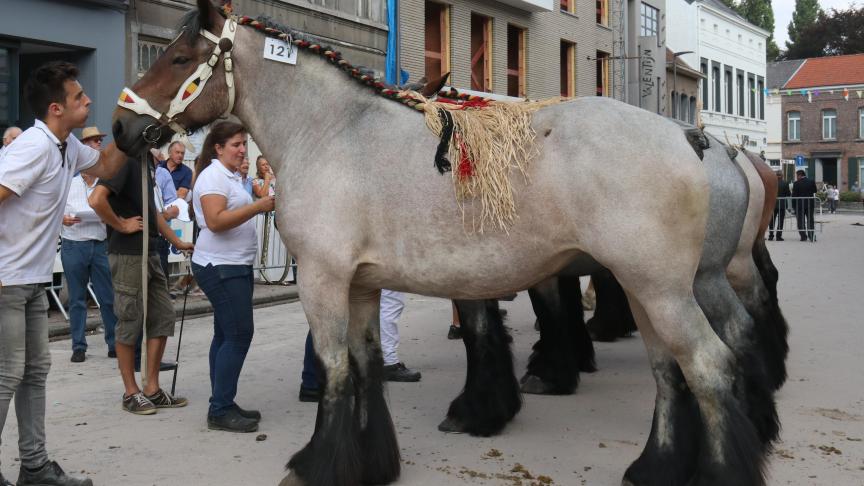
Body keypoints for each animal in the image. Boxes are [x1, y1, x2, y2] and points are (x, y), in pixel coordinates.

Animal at [109, 1, 776, 484]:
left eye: (179, 57)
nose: (121, 128)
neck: (334, 134)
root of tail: (689, 139)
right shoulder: (360, 287)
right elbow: (364, 367)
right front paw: (370, 462)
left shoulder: (323, 280)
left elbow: (335, 369)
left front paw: (319, 465)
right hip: (650, 290)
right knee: (673, 371)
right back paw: (656, 468)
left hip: (666, 291)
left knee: (710, 364)